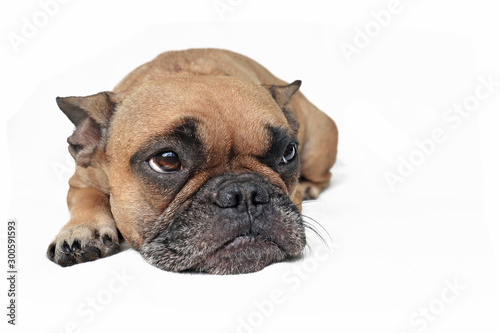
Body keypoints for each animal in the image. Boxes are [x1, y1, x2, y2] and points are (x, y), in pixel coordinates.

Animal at [47, 48, 338, 274]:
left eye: (288, 152)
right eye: (166, 161)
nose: (245, 192)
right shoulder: (82, 178)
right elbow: (87, 198)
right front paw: (83, 230)